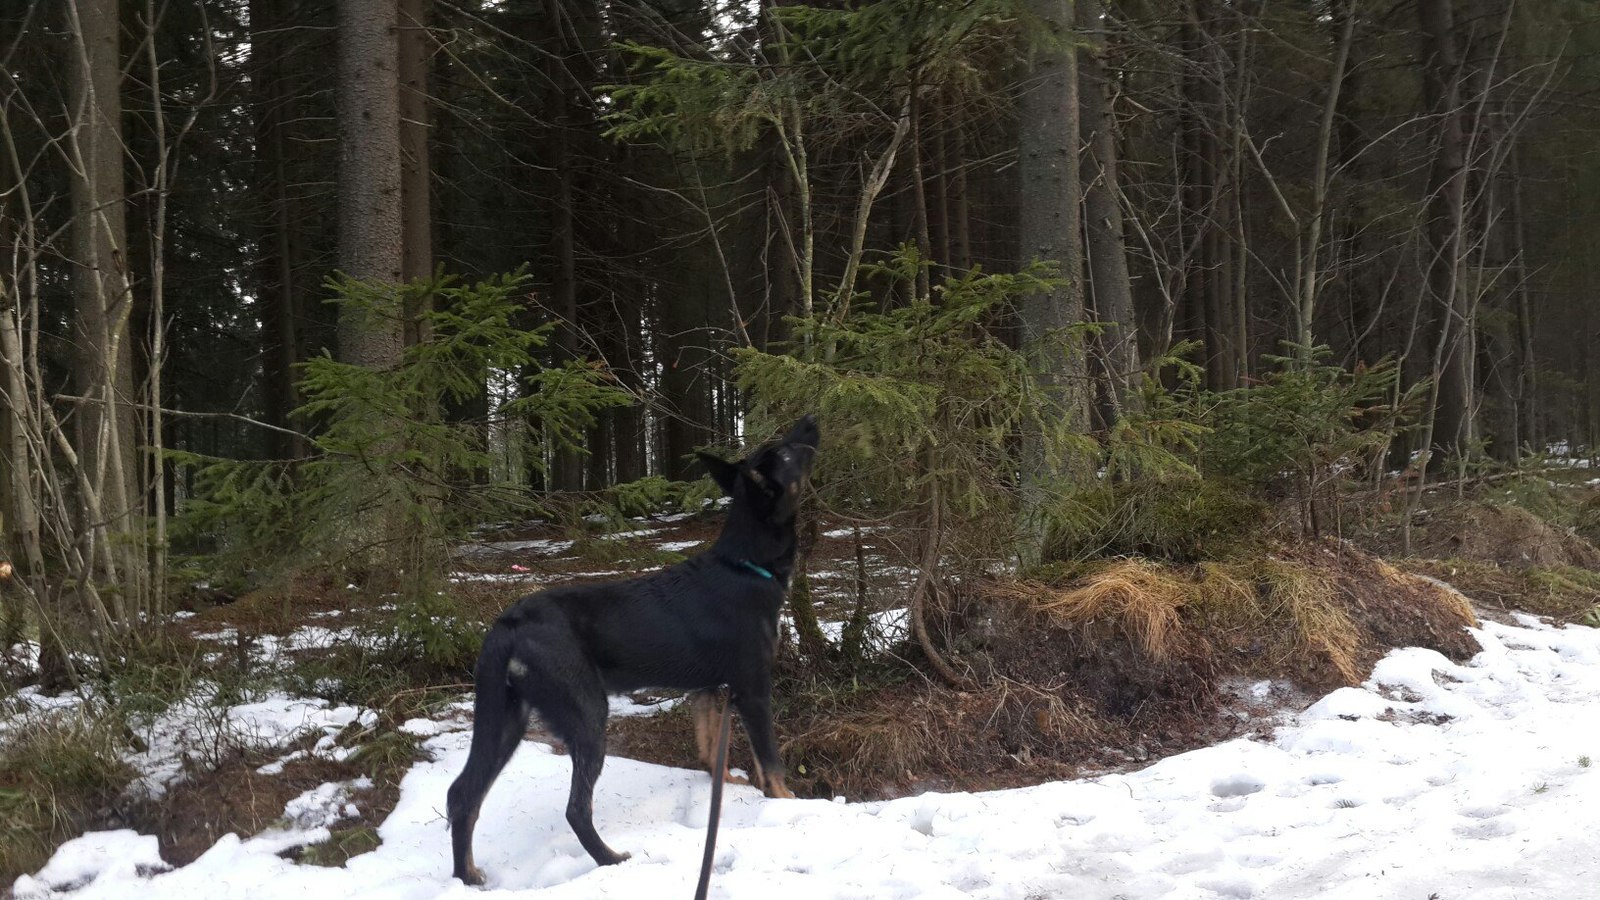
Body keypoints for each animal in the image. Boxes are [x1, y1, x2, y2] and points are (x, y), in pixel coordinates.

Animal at [451, 413, 825, 883]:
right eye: (790, 454)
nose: (810, 420)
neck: (746, 565)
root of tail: (508, 624)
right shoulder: (753, 688)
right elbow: (771, 765)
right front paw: (790, 807)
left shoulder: (708, 689)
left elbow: (710, 753)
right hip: (587, 715)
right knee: (576, 809)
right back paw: (610, 860)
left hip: (504, 718)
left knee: (463, 794)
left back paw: (466, 876)